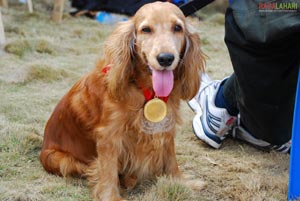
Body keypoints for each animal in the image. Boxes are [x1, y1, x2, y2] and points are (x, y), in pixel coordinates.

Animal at [40, 1, 204, 201]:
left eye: (177, 28)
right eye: (146, 29)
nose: (165, 58)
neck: (144, 88)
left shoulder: (165, 125)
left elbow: (171, 158)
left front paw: (181, 181)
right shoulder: (109, 136)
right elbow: (108, 171)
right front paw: (111, 196)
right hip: (57, 158)